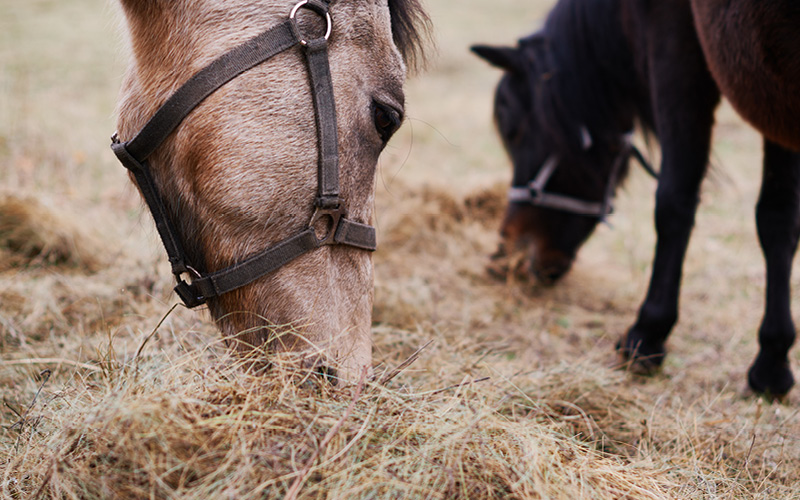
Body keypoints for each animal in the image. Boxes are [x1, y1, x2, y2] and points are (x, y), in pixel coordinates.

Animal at [472, 0, 800, 398]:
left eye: (511, 128)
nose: (506, 257)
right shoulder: (770, 97)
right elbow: (778, 218)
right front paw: (773, 359)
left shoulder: (678, 54)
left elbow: (674, 203)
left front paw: (647, 335)